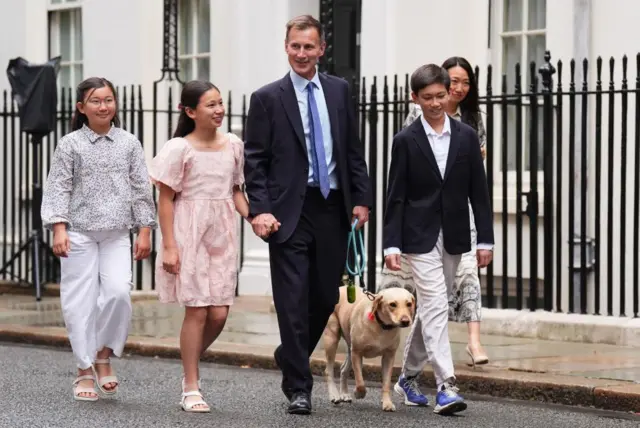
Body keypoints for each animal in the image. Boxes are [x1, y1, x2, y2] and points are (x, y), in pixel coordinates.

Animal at [320, 284, 416, 412]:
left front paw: (387, 402)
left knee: (343, 369)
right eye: (392, 304)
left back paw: (344, 393)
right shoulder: (357, 353)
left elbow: (386, 383)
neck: (381, 326)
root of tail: (341, 287)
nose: (405, 321)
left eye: (409, 304)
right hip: (332, 338)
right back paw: (334, 395)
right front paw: (359, 393)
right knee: (328, 370)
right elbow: (360, 382)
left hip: (350, 348)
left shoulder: (389, 356)